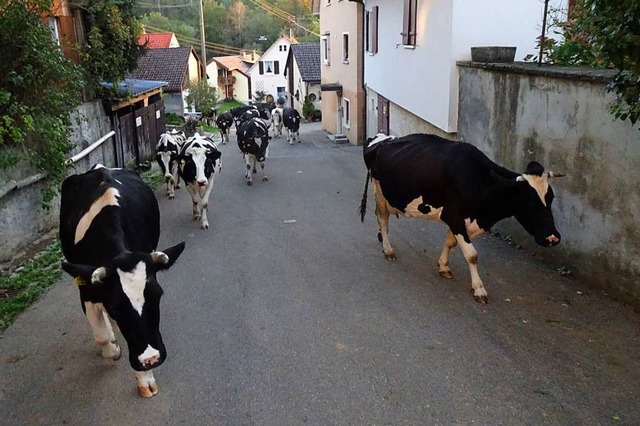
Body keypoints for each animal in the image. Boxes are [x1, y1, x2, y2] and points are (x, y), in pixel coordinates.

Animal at [58, 165, 185, 398]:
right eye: (116, 308)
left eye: (157, 297)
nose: (151, 358)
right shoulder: (87, 290)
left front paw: (145, 380)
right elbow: (101, 336)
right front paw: (113, 348)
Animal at [360, 133, 564, 302]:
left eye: (551, 198)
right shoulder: (454, 216)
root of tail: (380, 138)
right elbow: (472, 255)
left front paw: (443, 266)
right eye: (530, 202)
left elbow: (450, 242)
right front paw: (479, 289)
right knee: (383, 219)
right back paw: (388, 250)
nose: (553, 238)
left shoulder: (464, 221)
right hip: (380, 193)